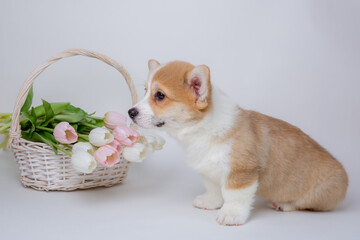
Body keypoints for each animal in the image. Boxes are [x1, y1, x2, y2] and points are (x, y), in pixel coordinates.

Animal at [127, 59, 348, 225]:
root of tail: (346, 178)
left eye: (160, 95)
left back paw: (284, 204)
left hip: (320, 194)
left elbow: (234, 196)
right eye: (145, 90)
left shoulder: (241, 173)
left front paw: (231, 214)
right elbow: (214, 188)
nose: (130, 112)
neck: (202, 129)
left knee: (305, 203)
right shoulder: (209, 170)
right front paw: (211, 202)